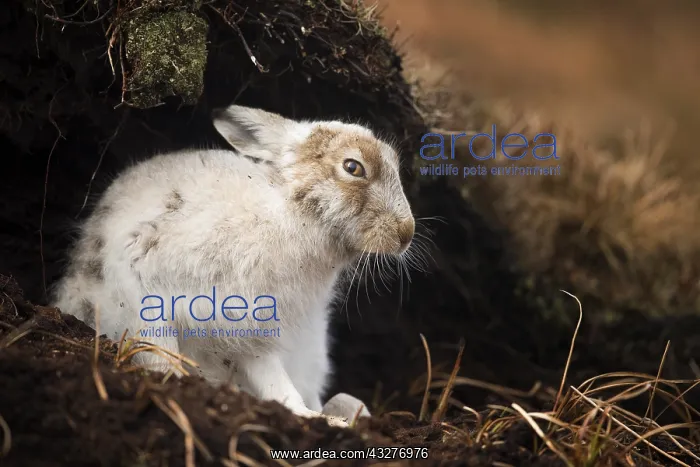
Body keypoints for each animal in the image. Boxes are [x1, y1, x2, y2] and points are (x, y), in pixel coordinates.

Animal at [51, 104, 415, 427]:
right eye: (353, 167)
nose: (406, 233)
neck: (293, 213)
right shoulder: (222, 313)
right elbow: (264, 374)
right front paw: (315, 419)